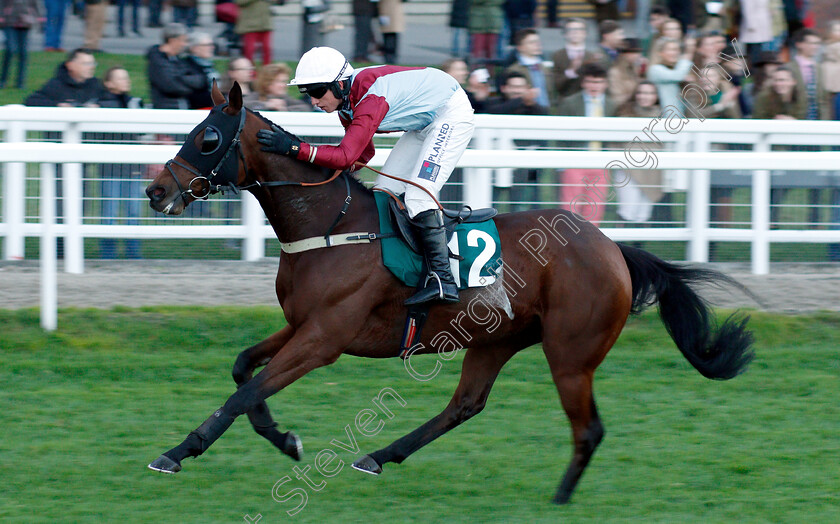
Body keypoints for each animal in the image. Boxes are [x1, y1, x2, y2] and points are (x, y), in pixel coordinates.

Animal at [144, 83, 756, 504]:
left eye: (208, 138)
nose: (155, 190)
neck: (330, 224)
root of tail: (612, 248)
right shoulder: (301, 325)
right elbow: (244, 369)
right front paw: (285, 439)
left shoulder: (324, 339)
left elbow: (245, 391)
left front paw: (178, 452)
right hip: (497, 339)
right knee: (465, 405)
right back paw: (379, 456)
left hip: (571, 354)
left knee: (588, 429)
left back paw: (559, 499)